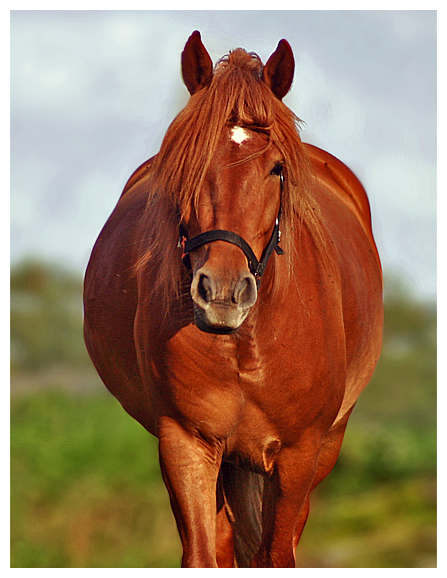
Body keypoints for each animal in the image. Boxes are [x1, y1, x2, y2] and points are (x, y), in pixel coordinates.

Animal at [84, 29, 384, 564]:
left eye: (276, 169)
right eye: (187, 162)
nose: (222, 293)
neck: (247, 345)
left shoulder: (299, 455)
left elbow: (276, 554)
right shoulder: (186, 443)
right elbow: (205, 553)